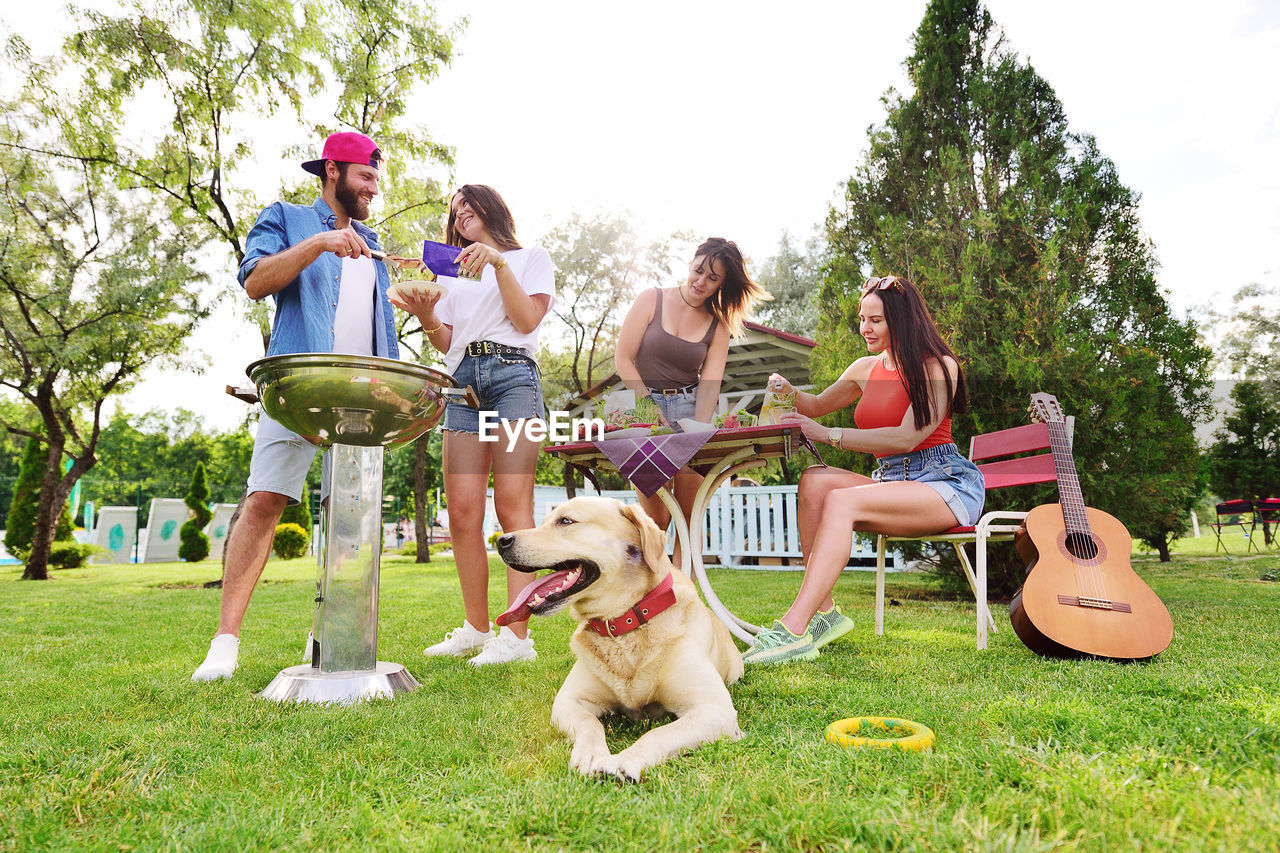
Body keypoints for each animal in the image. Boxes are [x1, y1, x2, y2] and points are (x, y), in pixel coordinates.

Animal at [494, 494, 747, 778]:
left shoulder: (714, 708)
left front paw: (625, 760)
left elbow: (658, 733)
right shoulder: (569, 700)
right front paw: (591, 753)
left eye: (566, 521)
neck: (623, 624)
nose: (501, 541)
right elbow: (589, 723)